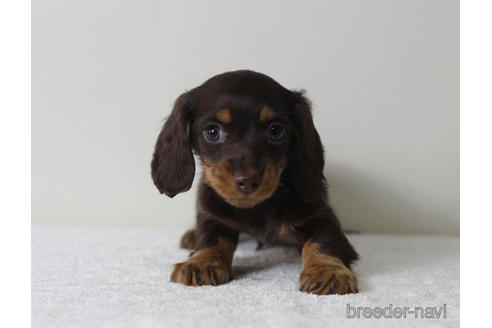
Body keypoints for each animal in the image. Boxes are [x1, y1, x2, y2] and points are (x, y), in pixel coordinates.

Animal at [150, 69, 358, 294]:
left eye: (276, 131)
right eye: (212, 132)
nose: (248, 181)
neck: (259, 207)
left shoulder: (320, 214)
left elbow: (322, 240)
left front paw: (327, 271)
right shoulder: (214, 213)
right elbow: (211, 238)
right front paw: (201, 262)